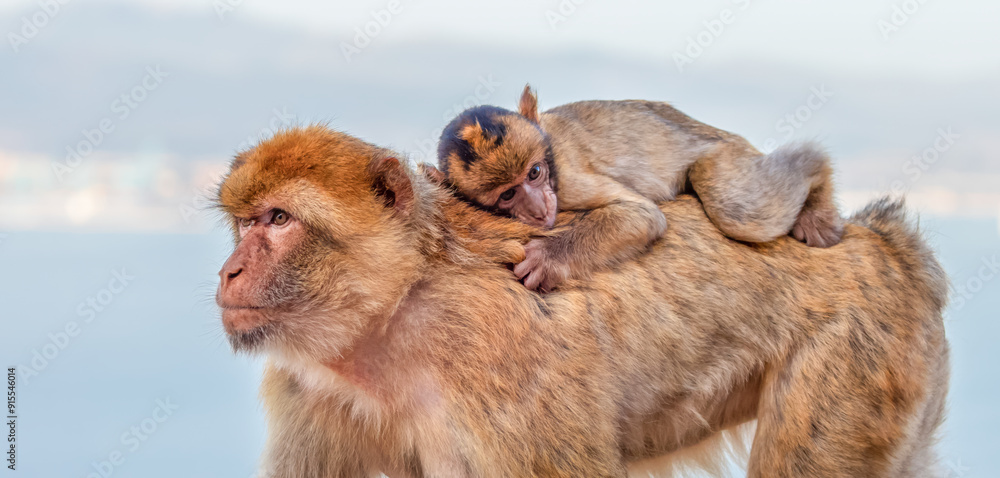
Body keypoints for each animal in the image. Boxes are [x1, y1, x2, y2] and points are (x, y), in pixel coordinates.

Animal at [216, 125, 949, 478]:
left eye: (279, 220)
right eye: (245, 221)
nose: (229, 272)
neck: (395, 312)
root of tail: (884, 245)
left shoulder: (498, 368)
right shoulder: (307, 387)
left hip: (854, 357)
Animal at [435, 85, 843, 291]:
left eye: (534, 173)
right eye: (507, 195)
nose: (537, 210)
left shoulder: (568, 181)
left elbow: (642, 215)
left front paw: (550, 257)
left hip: (727, 153)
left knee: (740, 215)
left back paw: (815, 181)